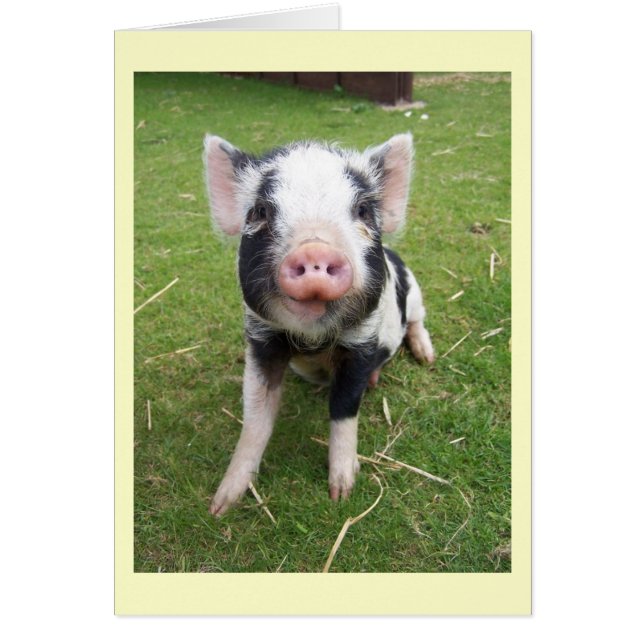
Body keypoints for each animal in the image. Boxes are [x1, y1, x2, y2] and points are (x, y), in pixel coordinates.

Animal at [203, 132, 435, 516]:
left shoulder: (362, 343)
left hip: (415, 293)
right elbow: (255, 418)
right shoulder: (262, 340)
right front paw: (220, 505)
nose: (314, 250)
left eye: (362, 211)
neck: (313, 342)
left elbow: (343, 409)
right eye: (260, 212)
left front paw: (341, 493)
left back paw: (425, 358)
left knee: (417, 321)